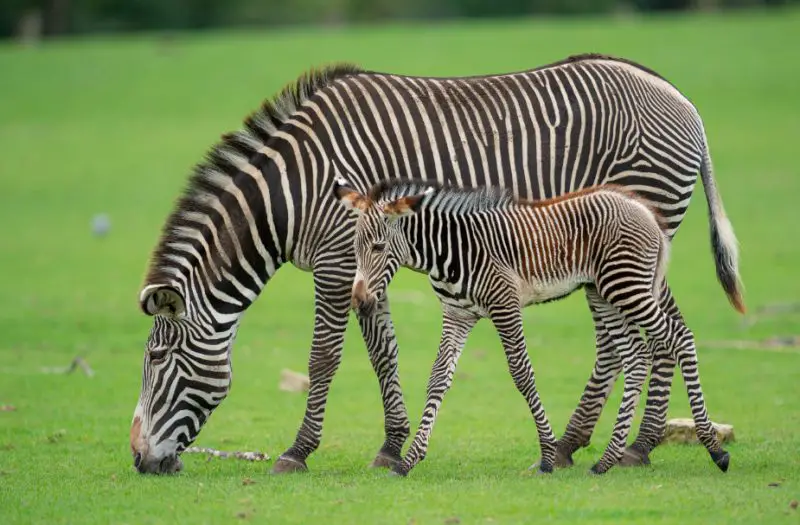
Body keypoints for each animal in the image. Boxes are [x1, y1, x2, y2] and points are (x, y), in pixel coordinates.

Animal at [336, 179, 740, 475]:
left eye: (377, 247)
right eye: (354, 249)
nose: (359, 302)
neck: (451, 253)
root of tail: (642, 208)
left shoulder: (505, 306)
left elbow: (522, 374)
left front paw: (547, 456)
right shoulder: (457, 315)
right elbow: (438, 378)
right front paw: (409, 460)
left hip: (627, 287)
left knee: (680, 338)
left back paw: (715, 450)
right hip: (603, 292)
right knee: (638, 357)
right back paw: (606, 460)